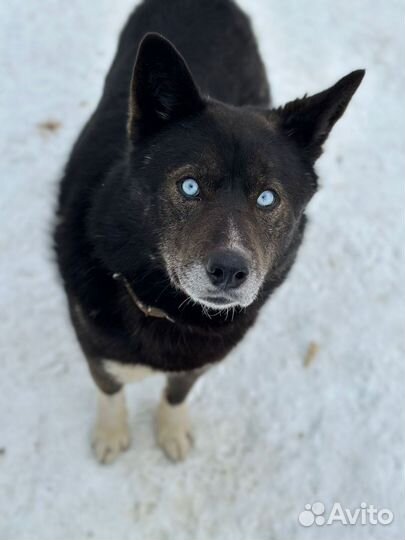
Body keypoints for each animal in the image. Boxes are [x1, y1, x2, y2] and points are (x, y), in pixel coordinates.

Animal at [52, 0, 362, 464]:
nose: (230, 271)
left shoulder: (201, 360)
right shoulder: (93, 342)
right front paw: (111, 433)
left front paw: (171, 430)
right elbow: (109, 387)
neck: (167, 310)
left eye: (267, 198)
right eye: (190, 186)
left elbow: (178, 392)